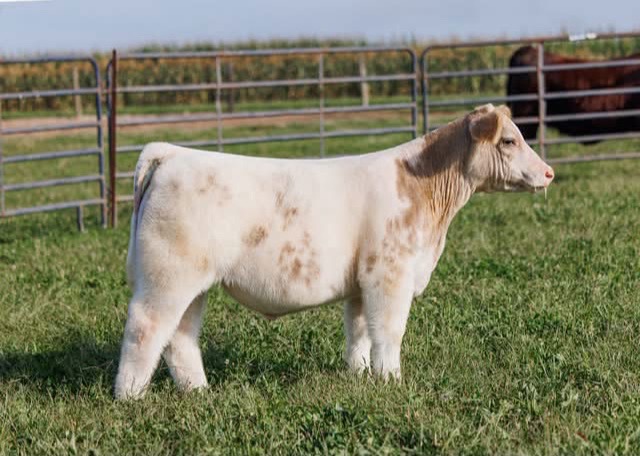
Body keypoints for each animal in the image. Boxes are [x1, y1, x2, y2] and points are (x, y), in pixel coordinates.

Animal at [114, 104, 554, 400]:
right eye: (509, 140)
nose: (549, 172)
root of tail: (173, 152)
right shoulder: (389, 274)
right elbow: (389, 331)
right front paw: (391, 381)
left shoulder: (362, 283)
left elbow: (359, 331)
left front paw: (360, 376)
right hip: (167, 276)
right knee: (145, 328)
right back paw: (130, 396)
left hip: (192, 282)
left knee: (181, 336)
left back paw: (198, 392)